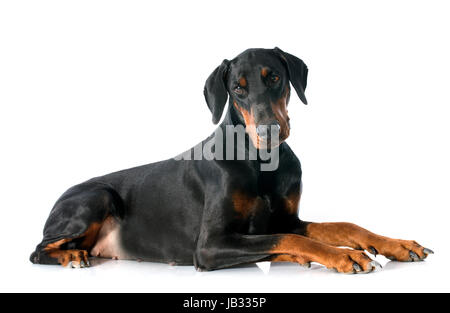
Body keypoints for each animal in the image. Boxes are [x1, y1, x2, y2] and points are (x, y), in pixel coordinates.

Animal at [30, 47, 432, 272]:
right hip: (96, 196)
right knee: (38, 251)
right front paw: (345, 256)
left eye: (275, 78)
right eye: (237, 88)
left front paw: (396, 245)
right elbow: (289, 238)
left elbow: (338, 226)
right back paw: (70, 257)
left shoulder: (287, 217)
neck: (262, 163)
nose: (270, 130)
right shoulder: (209, 245)